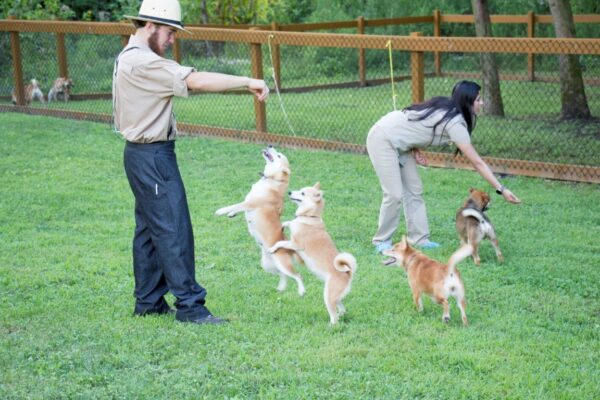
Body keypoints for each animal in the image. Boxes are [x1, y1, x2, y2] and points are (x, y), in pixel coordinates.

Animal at [214, 145, 304, 296]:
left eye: (279, 155)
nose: (270, 145)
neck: (271, 181)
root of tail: (287, 244)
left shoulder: (250, 203)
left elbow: (236, 205)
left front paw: (221, 211)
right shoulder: (248, 203)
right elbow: (238, 208)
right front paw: (231, 214)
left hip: (282, 263)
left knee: (298, 276)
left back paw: (302, 291)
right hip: (269, 266)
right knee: (283, 275)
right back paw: (281, 288)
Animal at [268, 184, 356, 324]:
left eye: (303, 193)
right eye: (299, 190)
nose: (289, 192)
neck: (309, 218)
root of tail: (348, 273)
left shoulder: (296, 244)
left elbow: (281, 242)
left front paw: (272, 248)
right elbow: (289, 222)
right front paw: (284, 224)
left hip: (328, 296)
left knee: (334, 316)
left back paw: (331, 325)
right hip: (335, 296)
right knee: (341, 307)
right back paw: (341, 315)